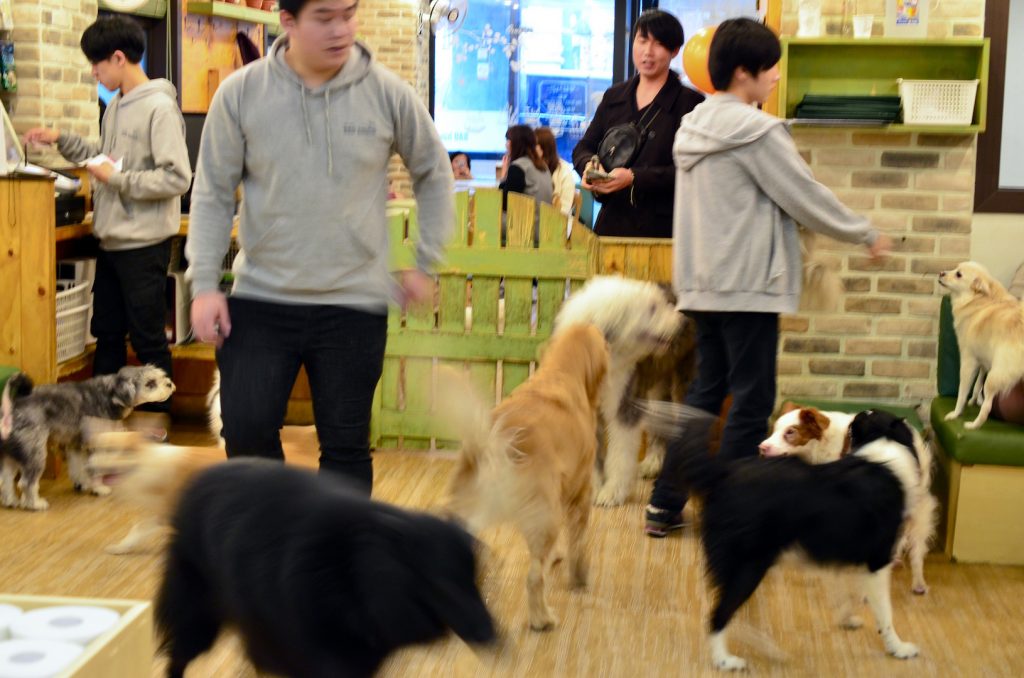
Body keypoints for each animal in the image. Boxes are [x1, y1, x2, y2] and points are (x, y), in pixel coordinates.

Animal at [0, 366, 174, 510]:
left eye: (161, 376)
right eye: (150, 383)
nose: (169, 384)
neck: (109, 395)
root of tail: (13, 407)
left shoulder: (75, 446)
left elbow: (79, 468)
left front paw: (83, 483)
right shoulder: (98, 446)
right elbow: (96, 469)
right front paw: (99, 489)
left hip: (11, 456)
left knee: (6, 480)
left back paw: (10, 501)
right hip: (34, 454)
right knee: (26, 483)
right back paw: (34, 504)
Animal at [442, 323, 606, 630]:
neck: (561, 371)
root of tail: (493, 444)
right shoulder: (581, 490)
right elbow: (578, 542)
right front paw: (580, 576)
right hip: (546, 518)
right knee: (534, 578)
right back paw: (543, 618)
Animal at [937, 261, 1024, 430]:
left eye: (958, 274)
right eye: (954, 268)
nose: (941, 272)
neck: (977, 300)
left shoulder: (968, 361)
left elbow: (962, 392)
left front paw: (956, 413)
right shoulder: (983, 360)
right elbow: (978, 383)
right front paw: (974, 399)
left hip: (994, 377)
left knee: (987, 407)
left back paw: (973, 425)